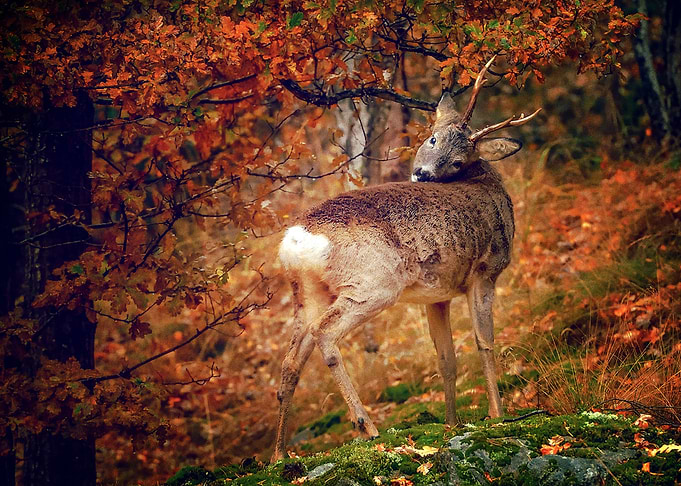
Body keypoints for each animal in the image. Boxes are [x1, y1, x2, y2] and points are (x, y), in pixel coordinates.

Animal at [272, 57, 540, 462]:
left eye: (458, 160)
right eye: (432, 138)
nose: (423, 172)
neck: (487, 184)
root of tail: (298, 238)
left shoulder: (438, 294)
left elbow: (446, 359)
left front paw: (451, 425)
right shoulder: (484, 272)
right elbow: (485, 342)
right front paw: (497, 415)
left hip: (308, 291)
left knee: (291, 362)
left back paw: (279, 455)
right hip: (374, 283)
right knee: (326, 333)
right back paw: (367, 427)